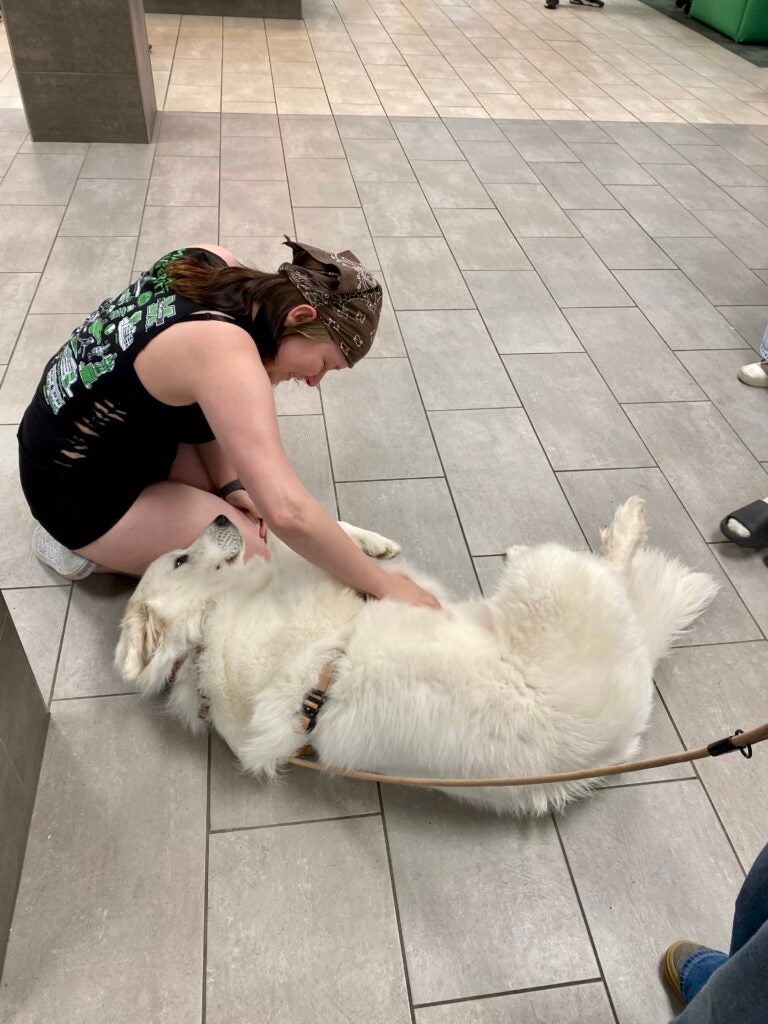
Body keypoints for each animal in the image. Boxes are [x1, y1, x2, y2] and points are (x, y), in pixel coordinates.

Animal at [115, 498, 717, 816]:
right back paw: (616, 527)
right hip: (554, 579)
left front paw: (370, 542)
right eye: (179, 559)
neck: (207, 628)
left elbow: (314, 533)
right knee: (606, 566)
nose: (221, 516)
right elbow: (300, 543)